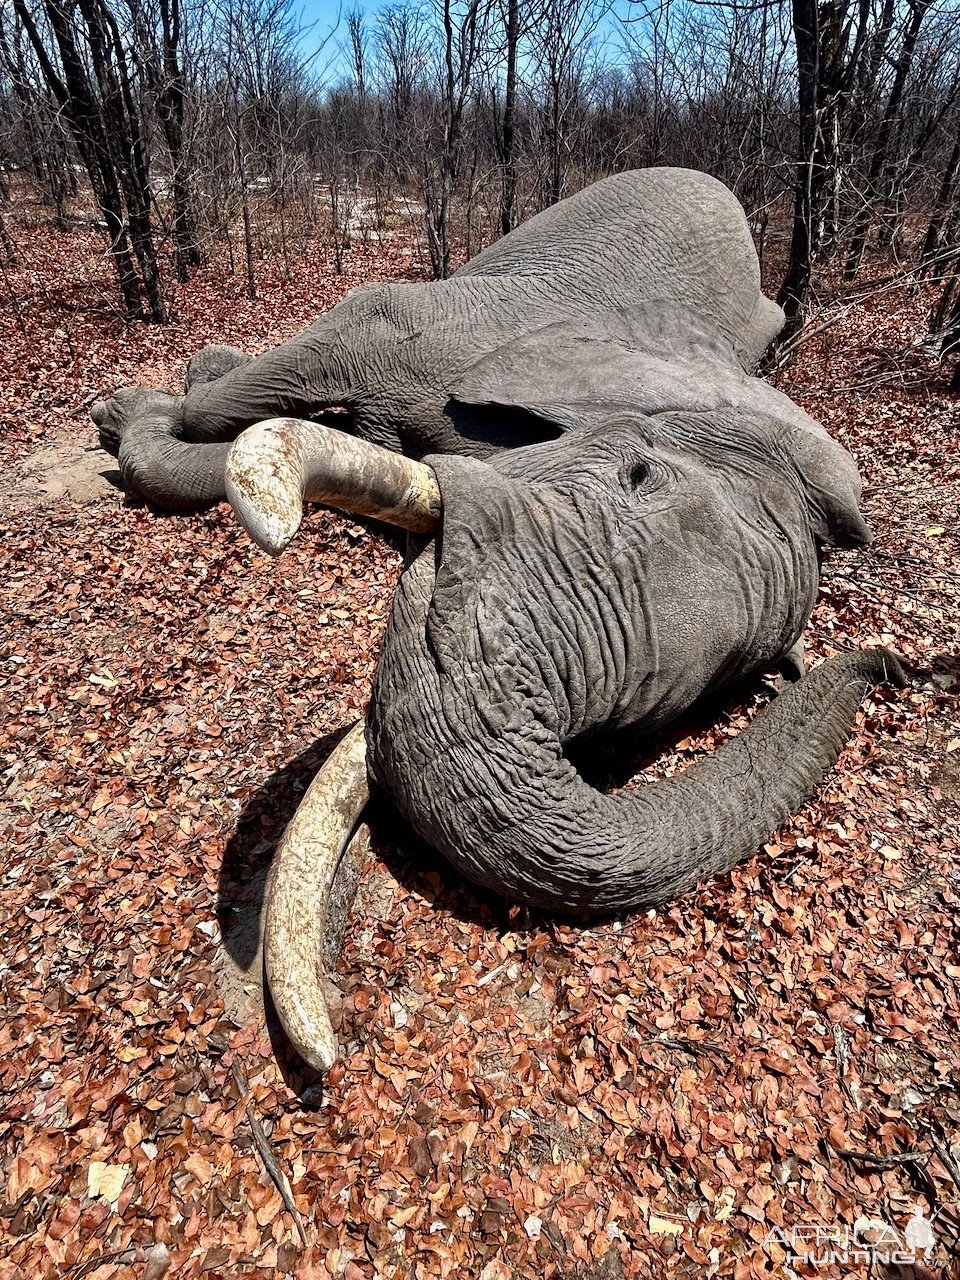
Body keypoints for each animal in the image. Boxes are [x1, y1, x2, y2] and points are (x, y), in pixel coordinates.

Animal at [86, 170, 906, 1070]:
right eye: (638, 474)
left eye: (637, 725)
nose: (891, 665)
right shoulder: (461, 326)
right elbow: (325, 348)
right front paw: (129, 408)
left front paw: (139, 413)